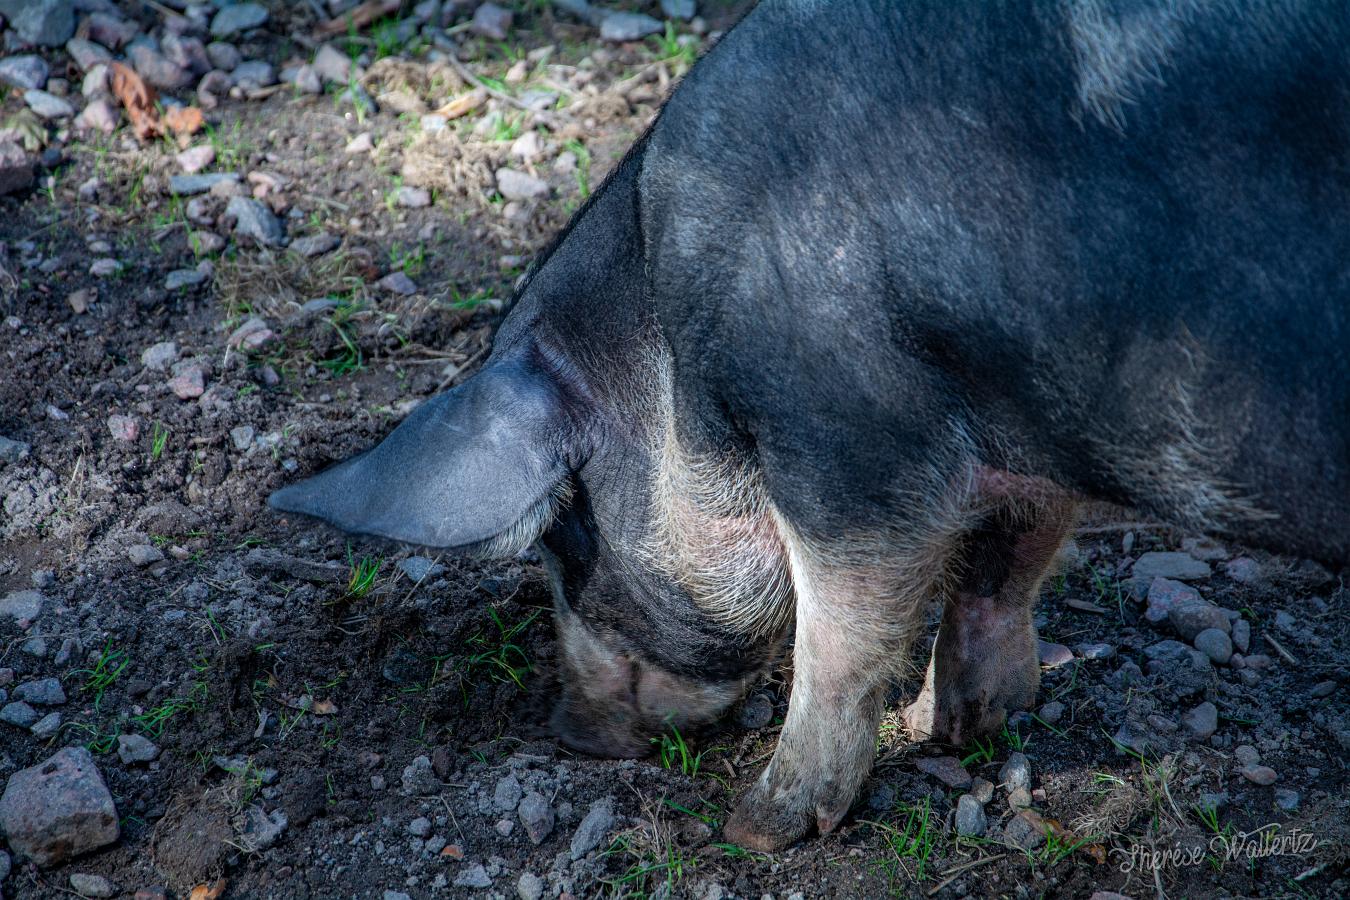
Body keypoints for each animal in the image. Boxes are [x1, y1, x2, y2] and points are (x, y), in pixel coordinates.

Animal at [268, 0, 1344, 852]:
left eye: (568, 541)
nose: (569, 736)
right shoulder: (1024, 457)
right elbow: (1004, 569)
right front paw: (953, 731)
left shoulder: (845, 437)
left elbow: (843, 634)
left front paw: (758, 829)